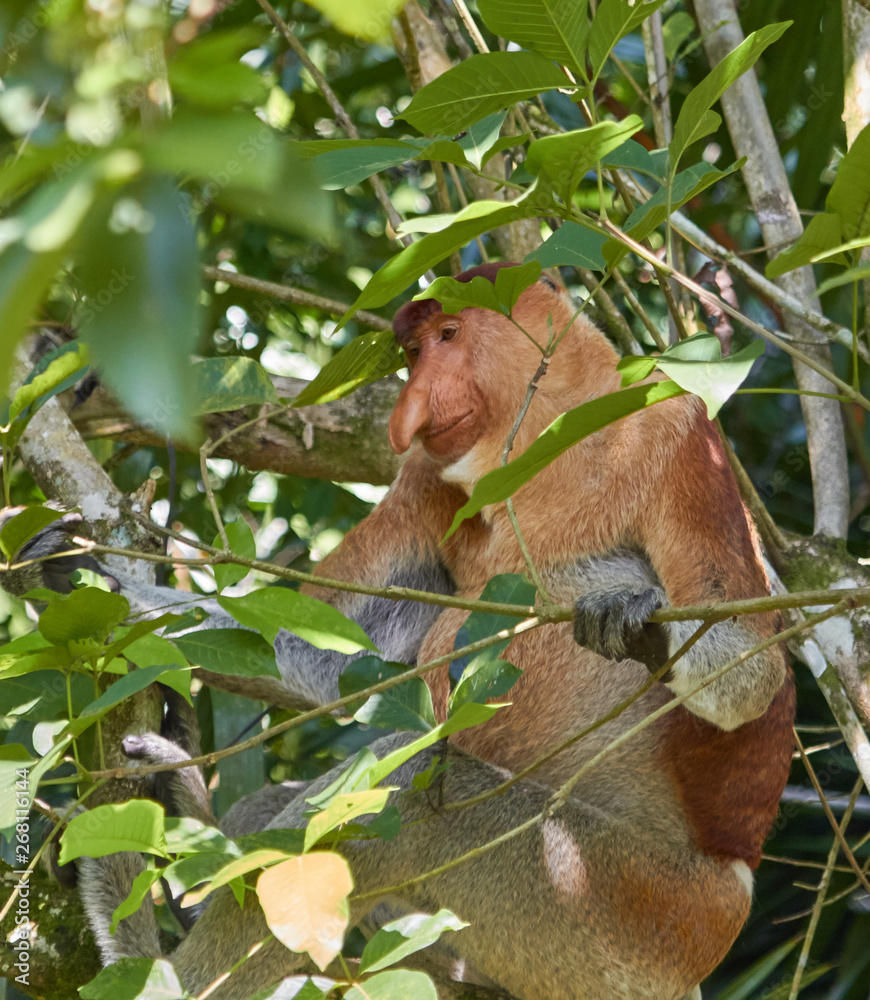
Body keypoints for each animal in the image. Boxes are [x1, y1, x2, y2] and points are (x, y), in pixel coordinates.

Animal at [1, 264, 795, 1000]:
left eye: (449, 335)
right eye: (411, 352)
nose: (408, 411)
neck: (547, 444)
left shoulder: (678, 433)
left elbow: (747, 675)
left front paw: (626, 613)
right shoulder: (428, 477)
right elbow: (355, 653)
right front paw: (78, 580)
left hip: (624, 913)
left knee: (405, 793)